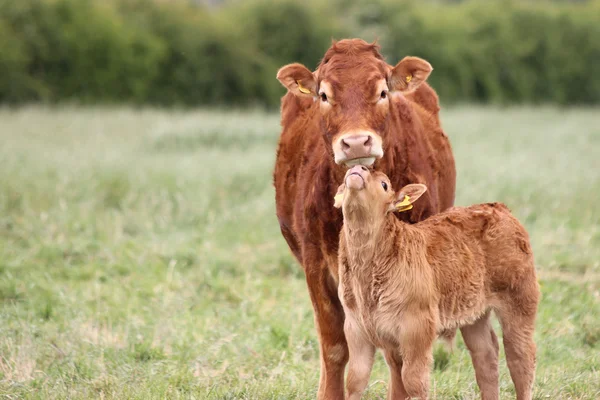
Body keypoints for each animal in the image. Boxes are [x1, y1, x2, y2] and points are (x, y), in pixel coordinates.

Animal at [272, 38, 454, 400]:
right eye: (323, 95)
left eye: (383, 92)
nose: (356, 142)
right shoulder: (316, 264)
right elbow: (334, 347)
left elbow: (398, 351)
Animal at [332, 166, 540, 400]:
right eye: (346, 176)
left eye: (384, 184)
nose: (359, 167)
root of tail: (499, 207)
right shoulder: (356, 328)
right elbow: (356, 380)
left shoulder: (417, 327)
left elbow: (414, 381)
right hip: (474, 314)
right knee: (486, 354)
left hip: (520, 300)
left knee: (520, 356)